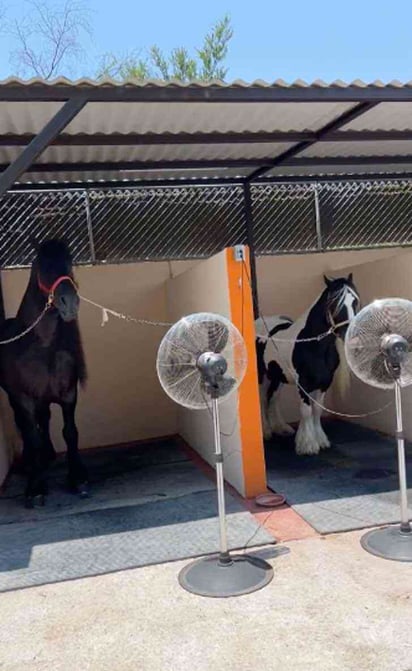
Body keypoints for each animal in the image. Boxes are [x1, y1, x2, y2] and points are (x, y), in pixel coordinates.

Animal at [0, 239, 87, 506]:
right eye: (42, 267)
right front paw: (36, 487)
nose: (69, 303)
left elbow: (70, 432)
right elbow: (32, 436)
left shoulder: (68, 394)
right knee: (27, 427)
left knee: (45, 419)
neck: (42, 348)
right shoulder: (24, 399)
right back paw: (32, 462)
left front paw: (77, 478)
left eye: (69, 263)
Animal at [256, 274, 358, 456]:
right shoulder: (303, 384)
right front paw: (307, 444)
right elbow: (306, 411)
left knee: (274, 398)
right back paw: (266, 431)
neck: (312, 345)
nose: (350, 336)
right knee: (262, 398)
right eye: (334, 303)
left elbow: (316, 410)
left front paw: (320, 440)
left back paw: (281, 428)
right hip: (262, 376)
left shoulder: (324, 383)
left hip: (278, 377)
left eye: (354, 301)